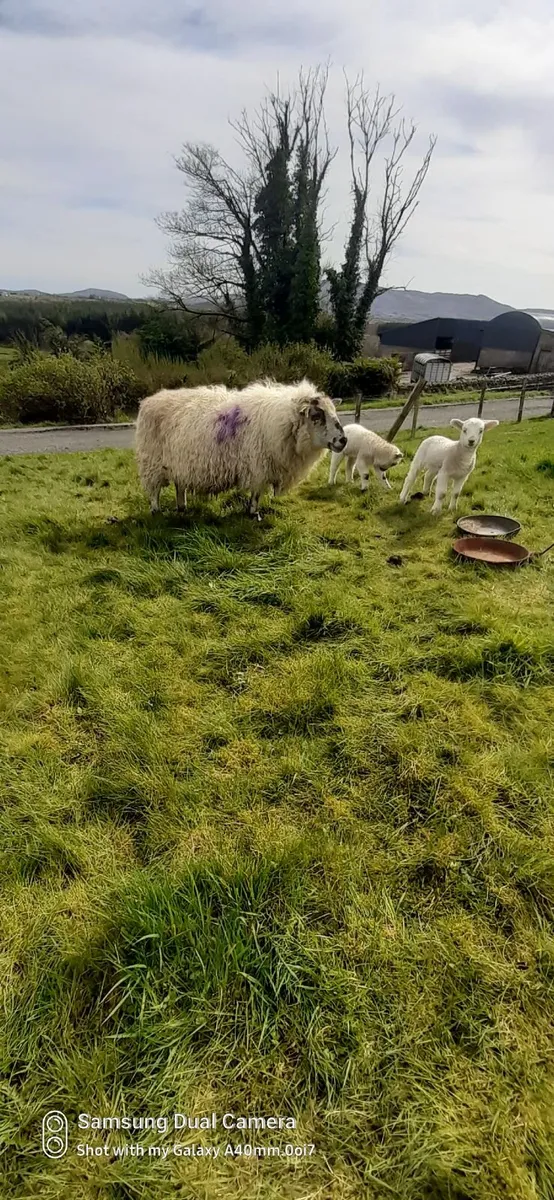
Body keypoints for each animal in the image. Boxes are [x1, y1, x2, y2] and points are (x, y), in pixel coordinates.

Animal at [135, 378, 347, 517]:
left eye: (334, 412)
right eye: (316, 416)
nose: (343, 440)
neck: (283, 422)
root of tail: (149, 401)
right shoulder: (258, 465)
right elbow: (256, 493)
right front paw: (253, 514)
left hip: (178, 462)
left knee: (180, 485)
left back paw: (182, 508)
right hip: (152, 461)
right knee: (154, 491)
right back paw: (156, 511)